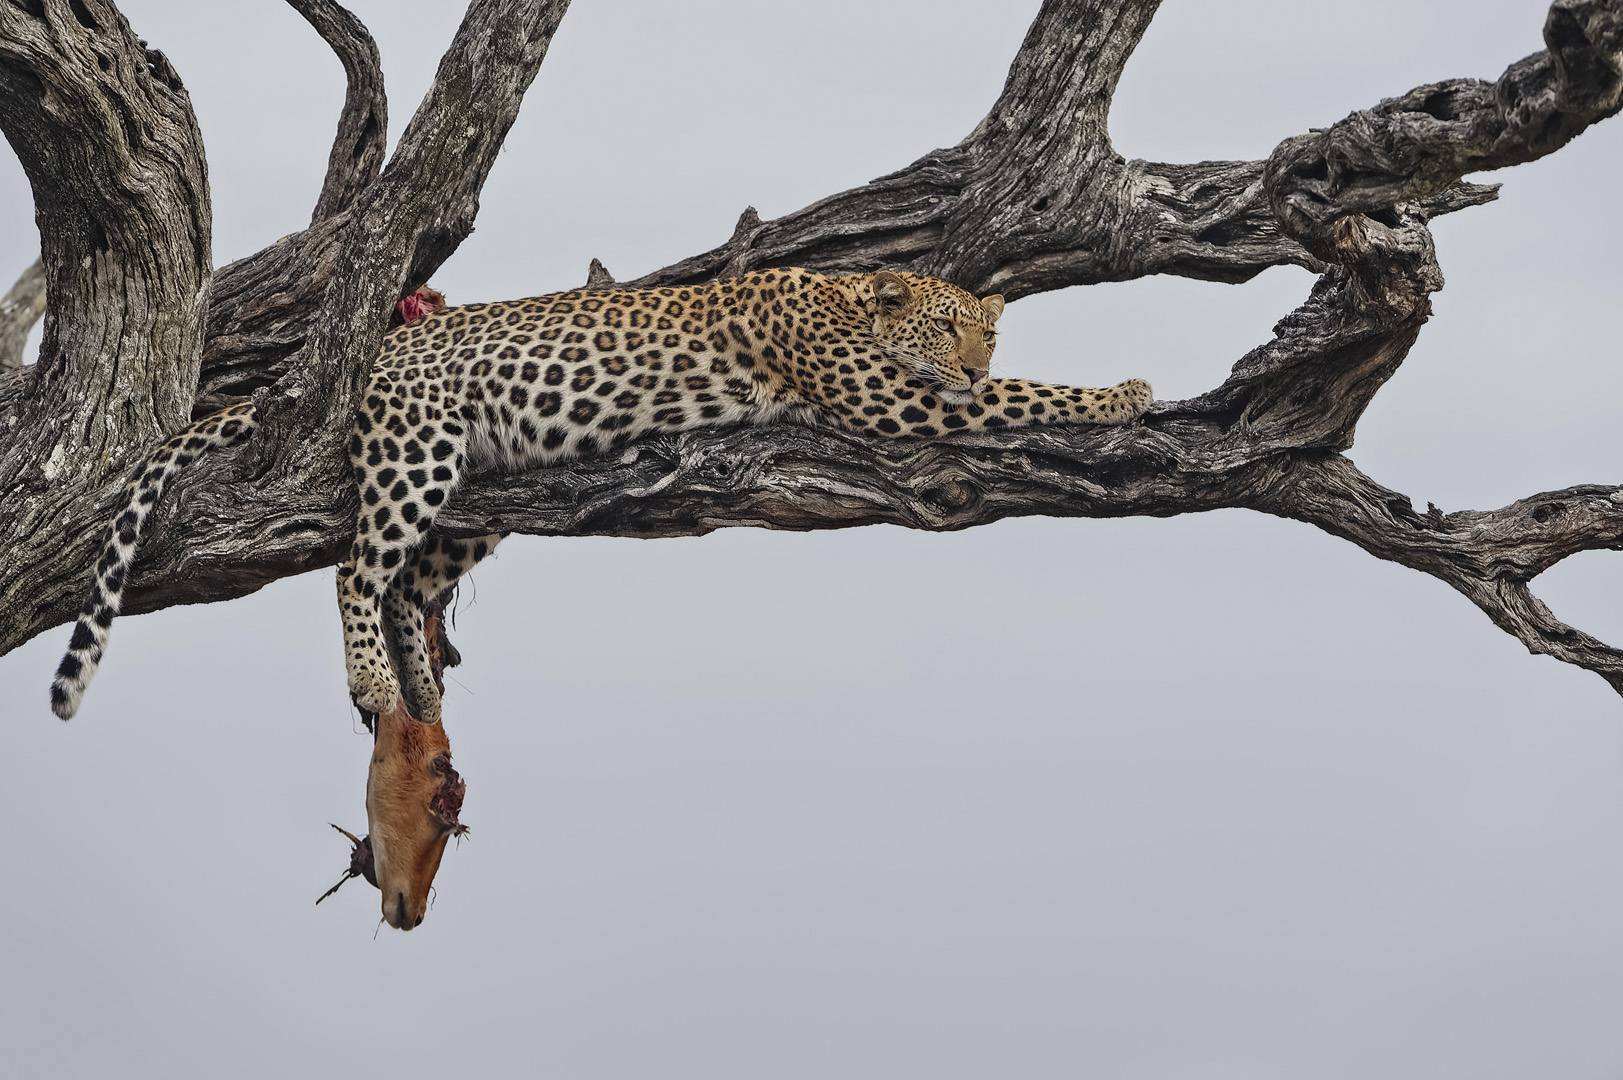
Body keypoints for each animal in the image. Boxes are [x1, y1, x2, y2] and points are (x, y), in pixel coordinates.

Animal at [50, 268, 1151, 723]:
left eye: (987, 331)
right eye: (946, 332)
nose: (969, 364)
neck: (852, 297)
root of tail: (379, 349)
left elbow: (1020, 389)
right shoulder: (883, 396)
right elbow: (1025, 397)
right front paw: (1126, 393)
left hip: (477, 487)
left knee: (409, 582)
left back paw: (420, 690)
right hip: (417, 451)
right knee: (359, 570)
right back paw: (374, 686)